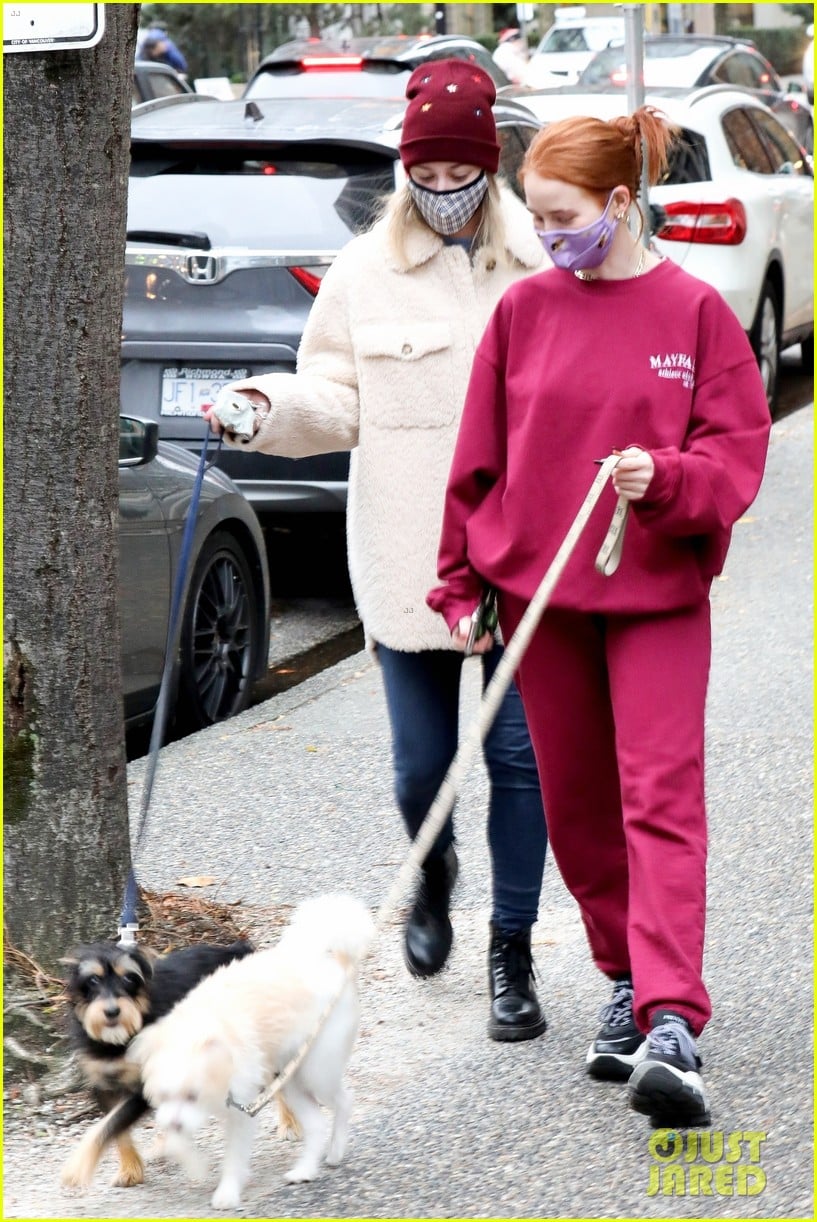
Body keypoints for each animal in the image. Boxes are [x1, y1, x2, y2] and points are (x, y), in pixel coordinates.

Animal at [59, 933, 251, 1182]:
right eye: (93, 980)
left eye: (128, 978)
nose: (112, 1012)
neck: (117, 1040)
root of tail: (235, 949)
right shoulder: (104, 1083)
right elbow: (115, 1128)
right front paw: (130, 1167)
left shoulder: (141, 1089)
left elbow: (109, 1125)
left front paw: (79, 1165)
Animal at [126, 894, 373, 1207]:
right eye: (162, 1096)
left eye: (193, 1095)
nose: (175, 1124)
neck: (196, 1033)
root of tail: (334, 964)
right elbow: (177, 1143)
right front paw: (195, 1166)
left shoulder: (240, 1111)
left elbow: (233, 1158)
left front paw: (227, 1193)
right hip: (290, 1080)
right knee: (317, 1124)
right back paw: (305, 1170)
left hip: (316, 1072)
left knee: (344, 1101)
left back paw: (336, 1150)